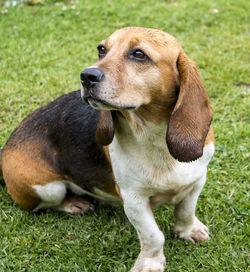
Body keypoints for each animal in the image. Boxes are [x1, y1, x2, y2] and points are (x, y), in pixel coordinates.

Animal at [0, 27, 215, 272]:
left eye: (139, 54)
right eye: (101, 50)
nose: (86, 76)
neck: (154, 138)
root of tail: (5, 148)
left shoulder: (196, 181)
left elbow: (186, 211)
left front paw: (188, 231)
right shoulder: (133, 200)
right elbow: (153, 236)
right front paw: (150, 263)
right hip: (49, 189)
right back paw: (74, 203)